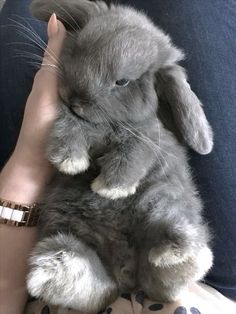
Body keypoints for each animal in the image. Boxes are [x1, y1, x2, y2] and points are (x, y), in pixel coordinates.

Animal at [27, 1, 214, 312]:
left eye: (122, 81)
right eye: (79, 48)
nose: (76, 98)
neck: (106, 125)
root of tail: (126, 274)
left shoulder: (148, 135)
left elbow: (134, 153)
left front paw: (110, 189)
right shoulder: (72, 119)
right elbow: (70, 125)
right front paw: (69, 160)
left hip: (161, 202)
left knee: (164, 272)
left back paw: (179, 257)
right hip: (66, 231)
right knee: (97, 287)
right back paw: (53, 272)